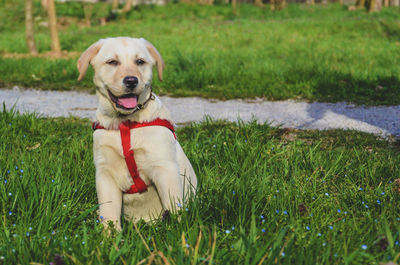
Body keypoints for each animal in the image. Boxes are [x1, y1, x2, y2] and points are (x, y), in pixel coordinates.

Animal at [76, 37, 197, 229]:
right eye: (112, 62)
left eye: (140, 61)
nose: (131, 81)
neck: (126, 123)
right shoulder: (105, 173)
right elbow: (108, 213)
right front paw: (110, 236)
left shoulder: (165, 168)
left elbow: (174, 207)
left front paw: (177, 232)